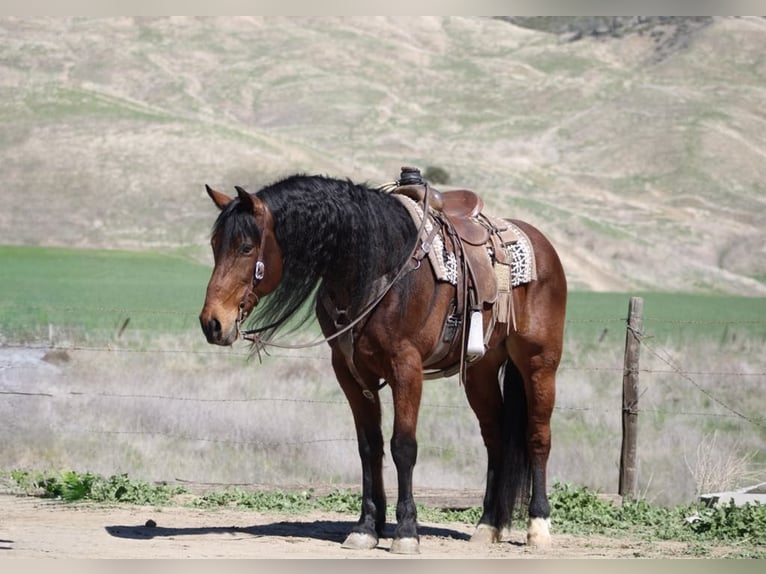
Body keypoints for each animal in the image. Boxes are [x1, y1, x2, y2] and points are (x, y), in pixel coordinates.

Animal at [199, 168, 567, 554]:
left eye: (245, 247)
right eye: (215, 245)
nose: (213, 323)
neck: (376, 268)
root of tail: (541, 244)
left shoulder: (406, 368)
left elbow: (403, 446)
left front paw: (406, 530)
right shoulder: (349, 371)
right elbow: (369, 446)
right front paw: (366, 527)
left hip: (539, 363)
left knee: (537, 437)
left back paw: (539, 527)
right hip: (481, 371)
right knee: (495, 438)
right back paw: (488, 525)